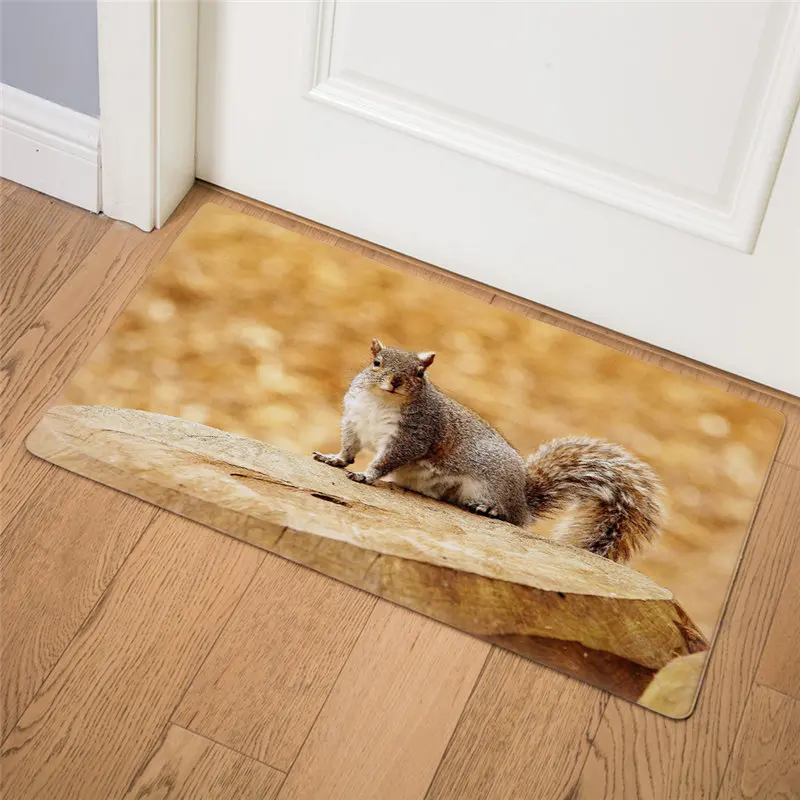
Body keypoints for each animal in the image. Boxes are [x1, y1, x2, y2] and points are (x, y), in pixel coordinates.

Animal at [313, 339, 665, 563]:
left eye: (420, 373)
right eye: (377, 363)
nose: (396, 381)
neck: (381, 402)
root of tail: (522, 499)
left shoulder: (413, 436)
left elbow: (386, 460)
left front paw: (366, 475)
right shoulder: (354, 421)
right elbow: (349, 447)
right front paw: (334, 459)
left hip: (491, 481)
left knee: (510, 517)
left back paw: (489, 509)